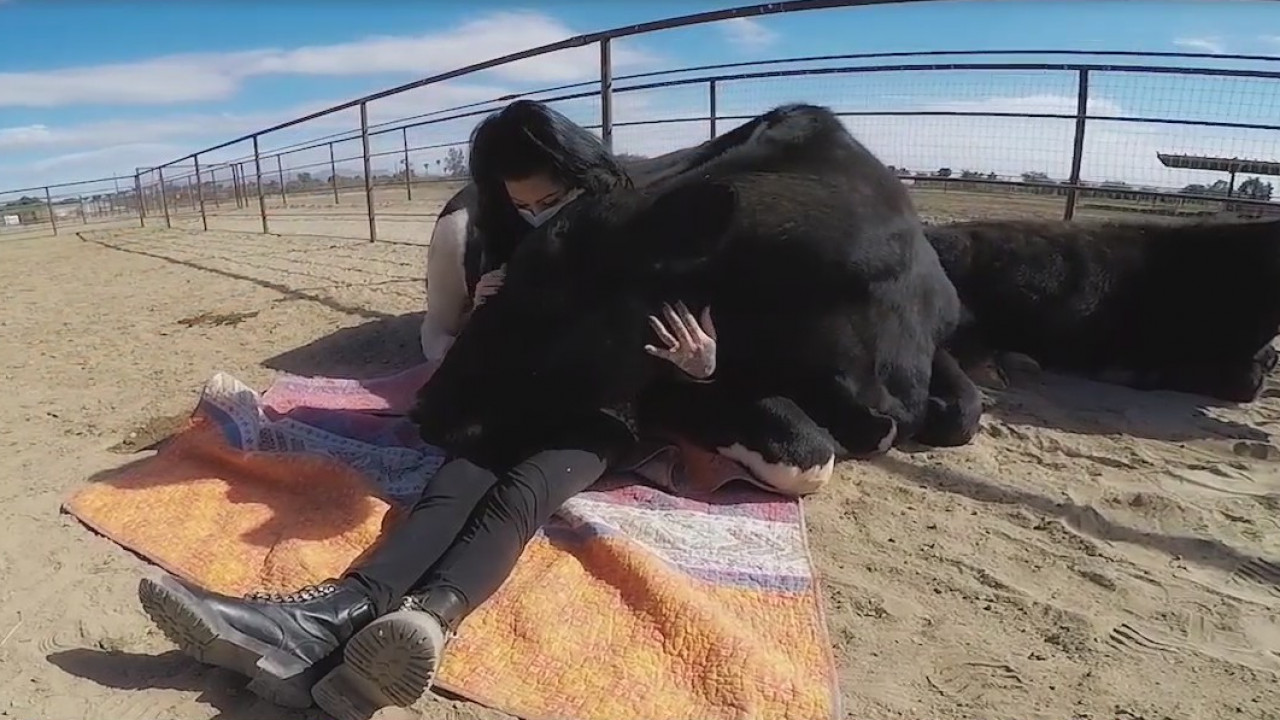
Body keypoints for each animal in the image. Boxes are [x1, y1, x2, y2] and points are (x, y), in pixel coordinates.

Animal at [410, 103, 982, 497]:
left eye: (551, 294)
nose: (423, 408)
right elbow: (810, 452)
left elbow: (964, 411)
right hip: (449, 236)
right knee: (432, 331)